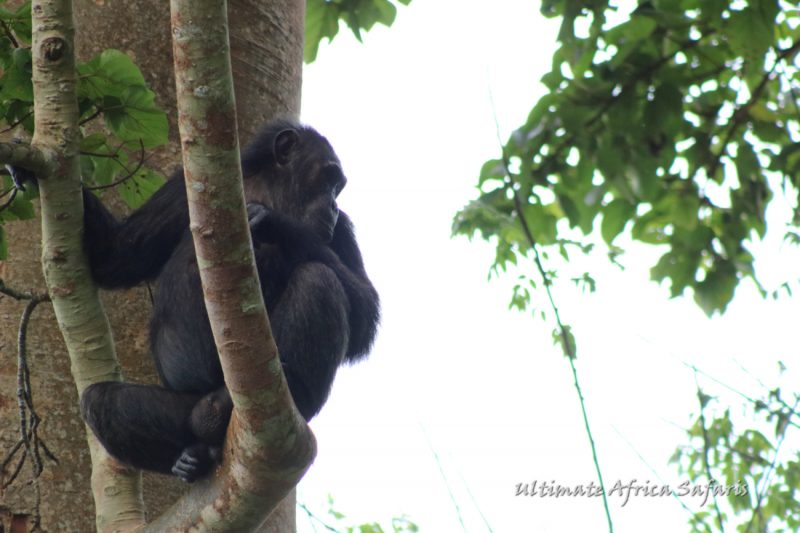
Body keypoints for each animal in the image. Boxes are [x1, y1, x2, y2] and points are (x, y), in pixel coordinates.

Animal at [76, 120, 382, 482]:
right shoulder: (180, 189)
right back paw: (193, 456)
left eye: (338, 187)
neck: (271, 189)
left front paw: (274, 223)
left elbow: (365, 312)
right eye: (328, 177)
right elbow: (120, 254)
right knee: (102, 402)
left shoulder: (343, 228)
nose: (333, 205)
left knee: (318, 279)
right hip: (184, 405)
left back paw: (290, 391)